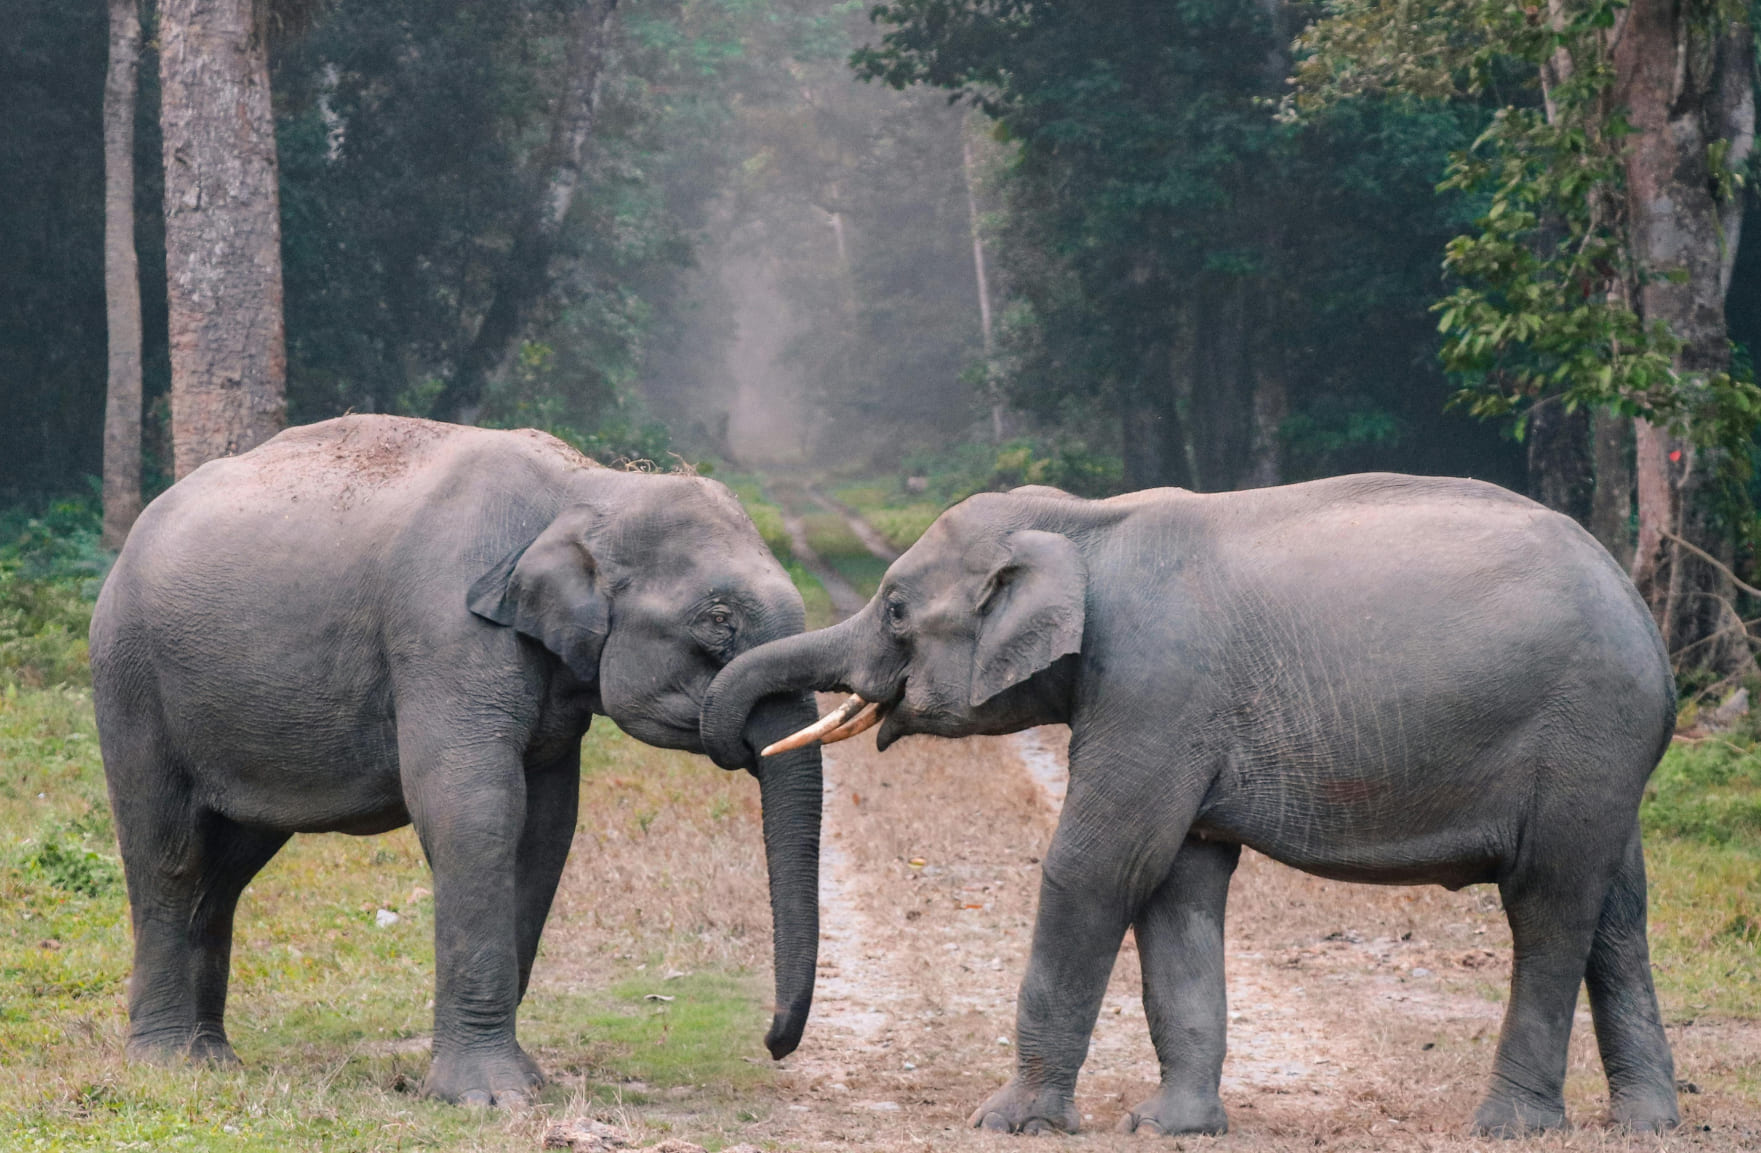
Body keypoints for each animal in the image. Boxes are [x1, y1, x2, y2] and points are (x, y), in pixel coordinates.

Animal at [87, 417, 817, 1112]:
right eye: (717, 619)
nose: (772, 1043)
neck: (588, 487)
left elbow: (546, 828)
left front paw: (527, 1082)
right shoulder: (445, 633)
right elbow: (476, 812)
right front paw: (488, 1097)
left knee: (227, 868)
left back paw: (212, 1057)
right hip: (130, 677)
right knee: (169, 854)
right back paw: (166, 1062)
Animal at [700, 475, 1676, 1133]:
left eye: (896, 609)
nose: (774, 1046)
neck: (1083, 522)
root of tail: (1648, 621)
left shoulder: (1155, 690)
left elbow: (1098, 864)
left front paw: (1007, 1122)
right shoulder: (1173, 716)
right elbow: (1178, 882)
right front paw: (1169, 1127)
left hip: (1585, 726)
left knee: (1547, 904)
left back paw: (1509, 1127)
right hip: (1606, 753)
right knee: (1616, 909)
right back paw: (1646, 1123)